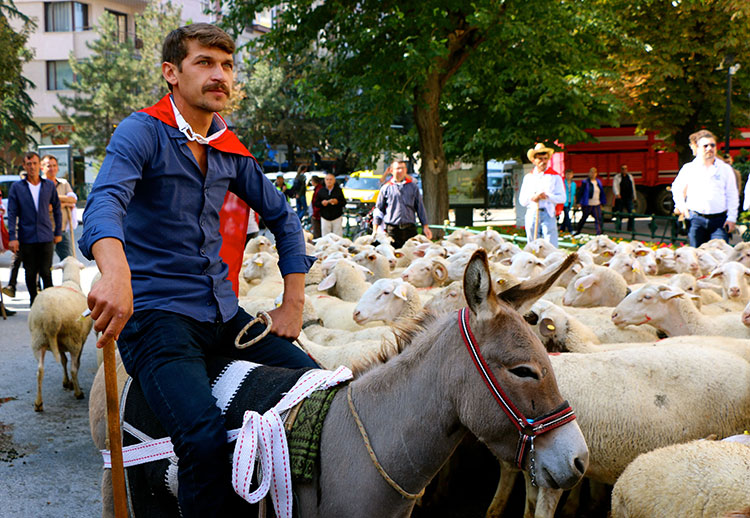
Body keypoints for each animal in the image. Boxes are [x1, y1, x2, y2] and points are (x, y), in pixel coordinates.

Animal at [28, 256, 94, 414]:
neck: (70, 281)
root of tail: (51, 316)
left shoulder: (61, 345)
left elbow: (63, 361)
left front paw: (65, 382)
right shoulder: (79, 341)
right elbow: (73, 363)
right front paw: (70, 384)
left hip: (38, 341)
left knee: (40, 371)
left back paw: (38, 404)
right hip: (73, 340)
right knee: (74, 368)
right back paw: (78, 393)